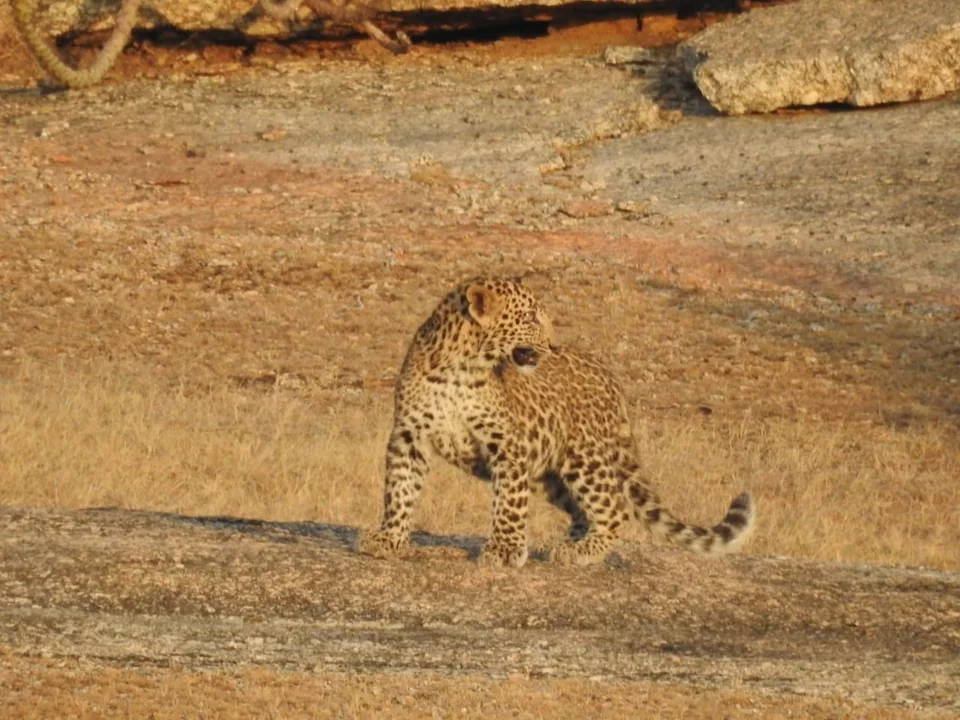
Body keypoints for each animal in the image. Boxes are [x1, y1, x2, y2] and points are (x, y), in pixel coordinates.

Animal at [358, 276, 755, 567]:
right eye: (530, 318)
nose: (552, 345)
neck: (462, 368)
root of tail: (609, 376)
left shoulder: (508, 444)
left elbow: (509, 503)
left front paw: (504, 551)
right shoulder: (408, 436)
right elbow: (400, 490)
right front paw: (388, 538)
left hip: (584, 458)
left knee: (614, 509)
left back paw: (582, 552)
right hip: (551, 474)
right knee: (582, 509)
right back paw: (570, 543)